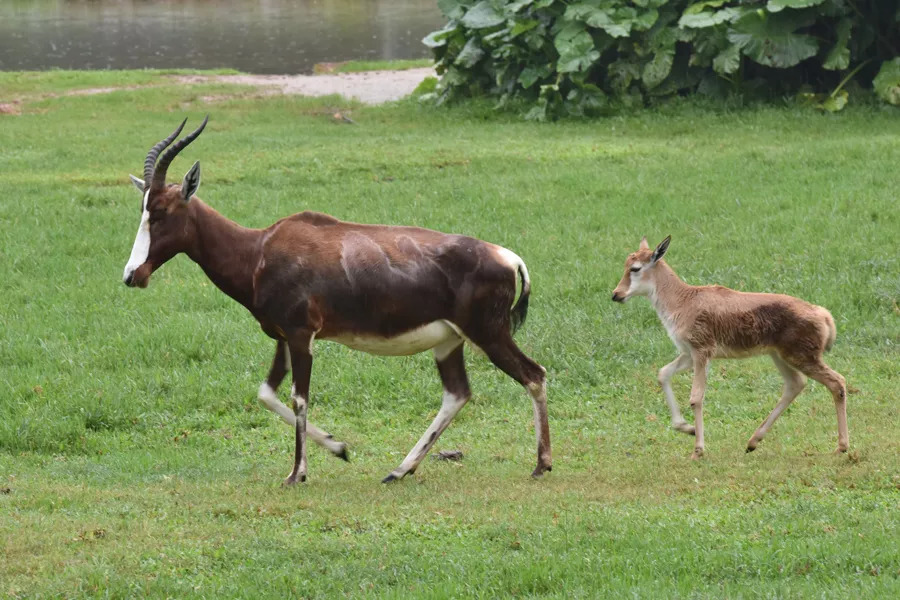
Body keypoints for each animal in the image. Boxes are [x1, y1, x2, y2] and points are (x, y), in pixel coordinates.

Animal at [123, 116, 552, 482]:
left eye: (160, 211)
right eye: (142, 208)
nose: (132, 275)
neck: (260, 249)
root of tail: (508, 256)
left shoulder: (301, 335)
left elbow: (298, 397)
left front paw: (297, 473)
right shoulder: (282, 337)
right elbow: (266, 394)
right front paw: (340, 448)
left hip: (488, 334)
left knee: (533, 374)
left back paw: (541, 464)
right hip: (449, 342)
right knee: (457, 393)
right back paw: (400, 470)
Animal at [608, 236, 848, 460]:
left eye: (635, 268)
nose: (616, 294)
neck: (683, 299)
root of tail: (823, 314)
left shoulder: (702, 352)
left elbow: (696, 397)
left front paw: (698, 450)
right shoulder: (688, 354)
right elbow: (663, 374)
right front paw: (686, 428)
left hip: (802, 358)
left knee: (837, 383)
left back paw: (842, 447)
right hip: (779, 356)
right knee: (795, 384)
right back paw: (752, 442)